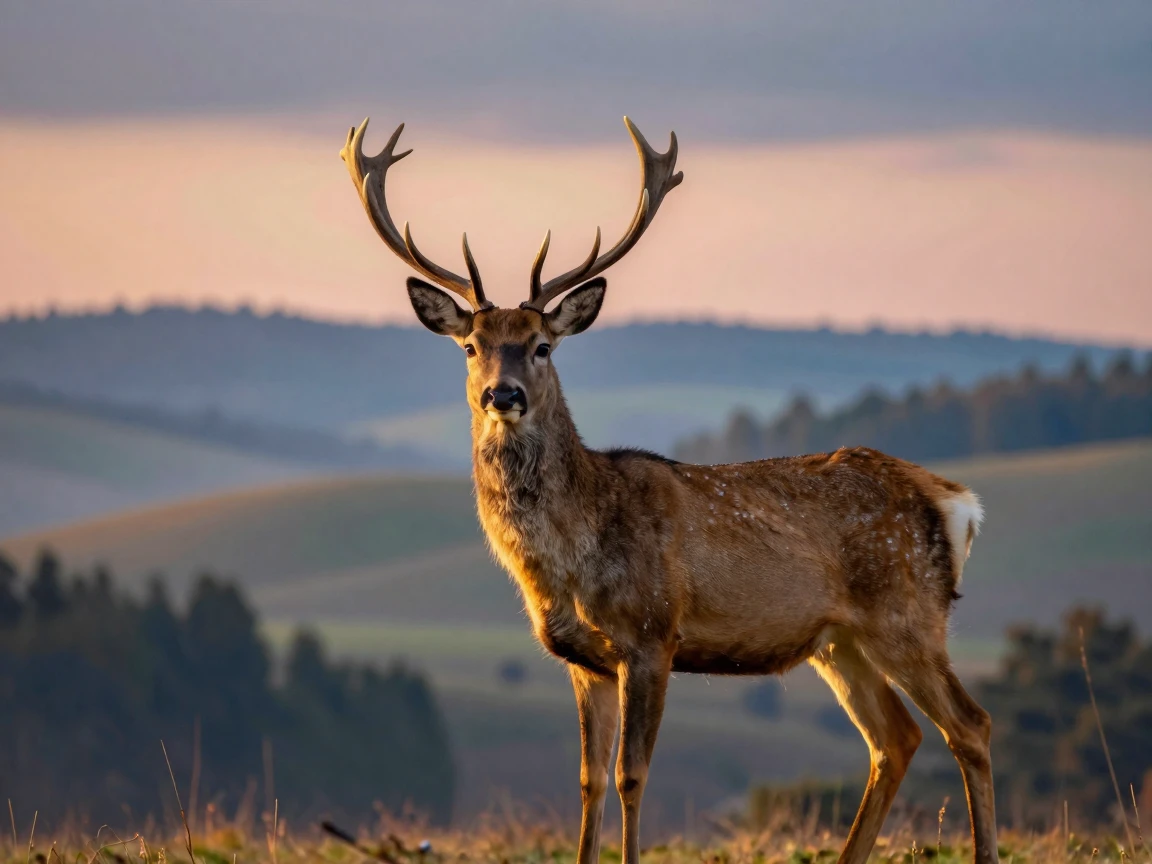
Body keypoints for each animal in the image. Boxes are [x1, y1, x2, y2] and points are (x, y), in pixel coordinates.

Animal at [339, 117, 999, 864]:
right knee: (897, 738)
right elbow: (589, 781)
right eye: (471, 345)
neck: (570, 558)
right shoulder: (583, 659)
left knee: (970, 725)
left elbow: (632, 775)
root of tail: (954, 502)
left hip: (907, 613)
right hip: (839, 641)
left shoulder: (653, 634)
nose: (501, 395)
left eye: (542, 345)